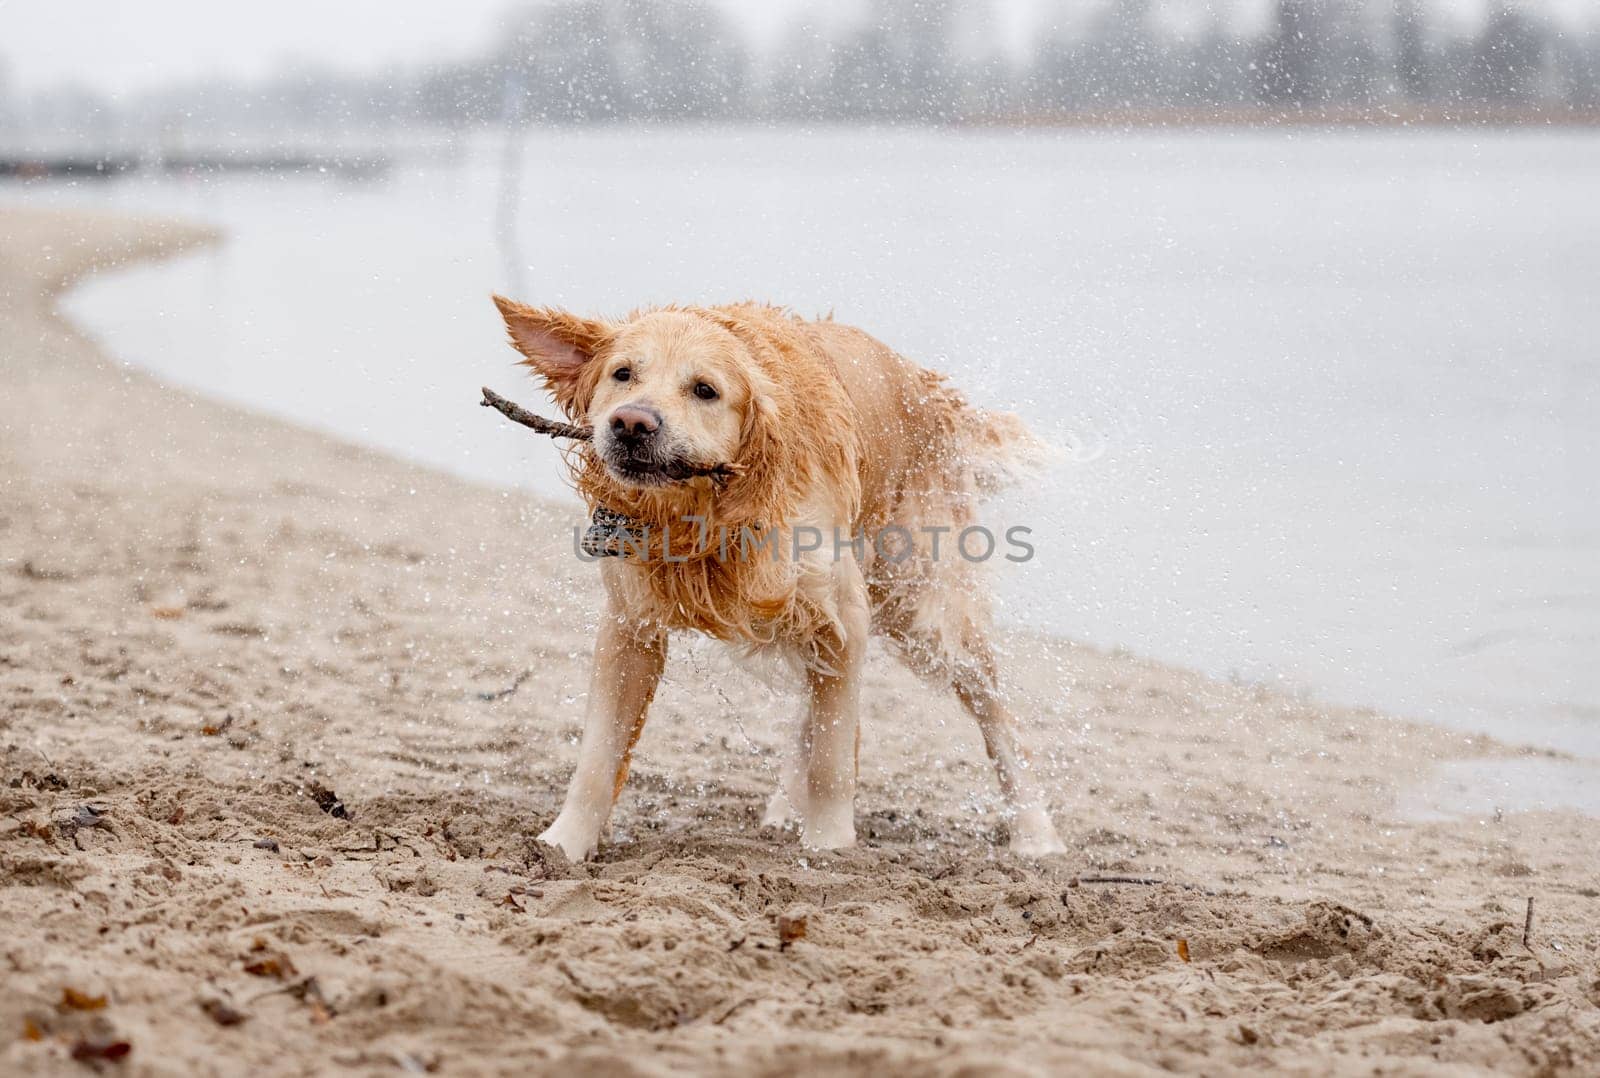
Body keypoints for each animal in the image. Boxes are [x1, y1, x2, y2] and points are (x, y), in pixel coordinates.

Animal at [486, 294, 1062, 857]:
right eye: (622, 374)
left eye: (705, 390)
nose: (631, 423)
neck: (709, 514)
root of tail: (932, 391)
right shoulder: (631, 626)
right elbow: (597, 758)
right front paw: (562, 845)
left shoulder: (841, 611)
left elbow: (832, 759)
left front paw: (828, 848)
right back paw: (786, 810)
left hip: (927, 612)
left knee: (998, 720)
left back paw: (1036, 834)